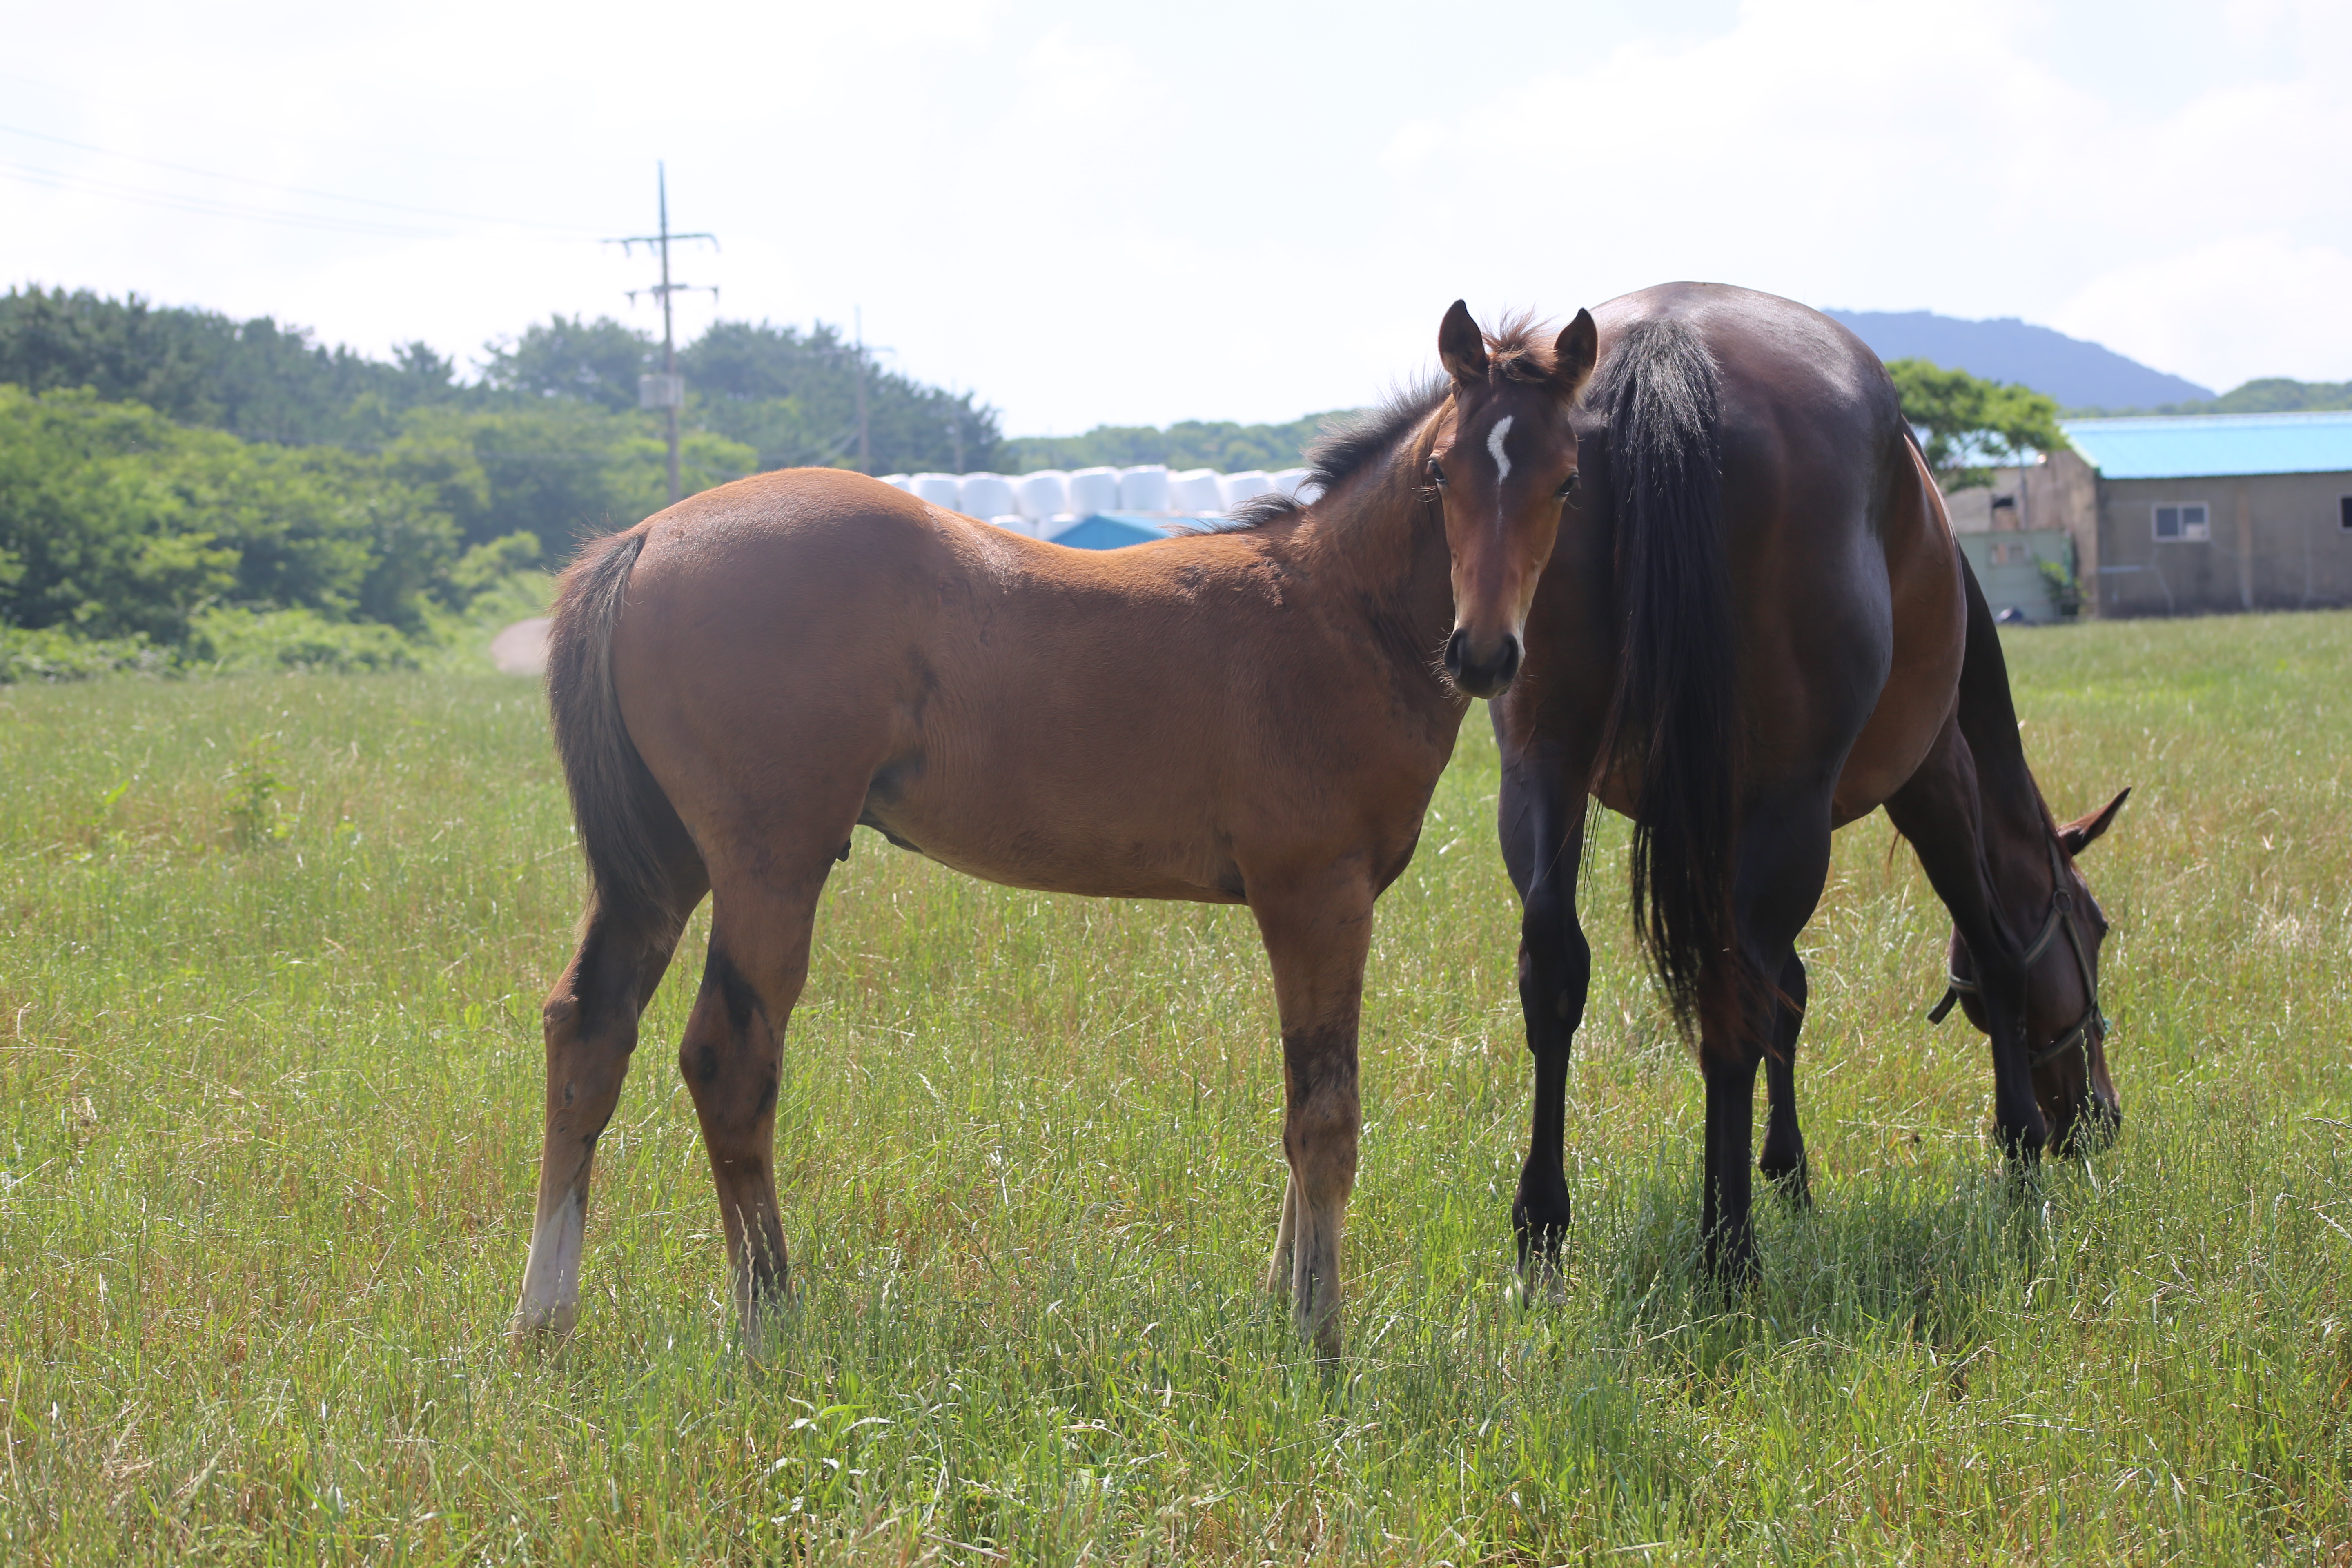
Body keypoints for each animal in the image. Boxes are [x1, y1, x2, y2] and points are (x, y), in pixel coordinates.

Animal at [519, 301, 1599, 1354]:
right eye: (1440, 470)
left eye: (1566, 479)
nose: (1483, 654)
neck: (1333, 614)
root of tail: (646, 536)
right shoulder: (1316, 895)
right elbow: (1324, 1122)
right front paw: (1320, 1339)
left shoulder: (1319, 904)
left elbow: (1303, 1118)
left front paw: (1281, 1306)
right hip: (769, 864)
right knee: (728, 1059)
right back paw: (767, 1322)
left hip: (663, 866)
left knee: (589, 1030)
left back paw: (545, 1320)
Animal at [1486, 282, 2136, 1288]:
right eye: (2095, 929)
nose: (2100, 1117)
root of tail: (1670, 341)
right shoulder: (1935, 773)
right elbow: (1991, 947)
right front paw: (2019, 1146)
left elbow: (1791, 994)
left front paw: (1789, 1171)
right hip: (1792, 801)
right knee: (1735, 997)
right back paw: (1728, 1254)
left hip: (1543, 766)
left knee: (1563, 967)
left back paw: (1547, 1229)